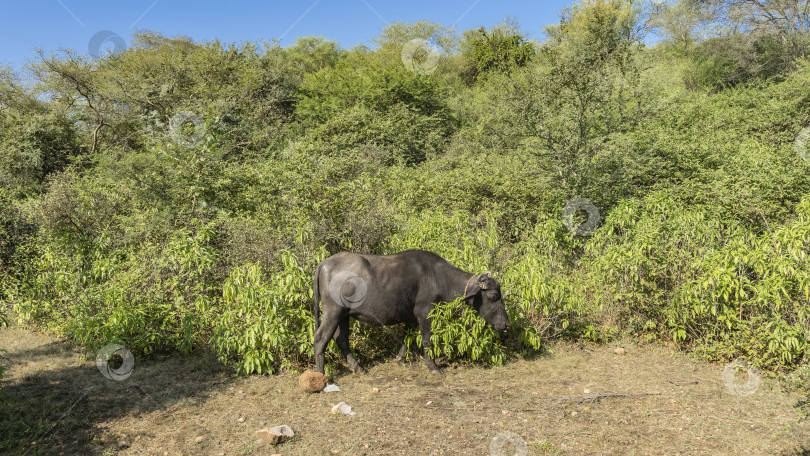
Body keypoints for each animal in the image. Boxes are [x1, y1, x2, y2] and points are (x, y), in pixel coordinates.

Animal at [310, 249, 504, 374]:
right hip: (333, 311)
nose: (506, 324)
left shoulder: (411, 317)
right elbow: (426, 340)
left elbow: (406, 338)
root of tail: (324, 264)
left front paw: (400, 359)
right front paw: (434, 367)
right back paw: (321, 375)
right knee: (321, 338)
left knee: (341, 339)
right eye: (494, 295)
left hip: (344, 315)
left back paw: (359, 368)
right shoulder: (425, 313)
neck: (439, 277)